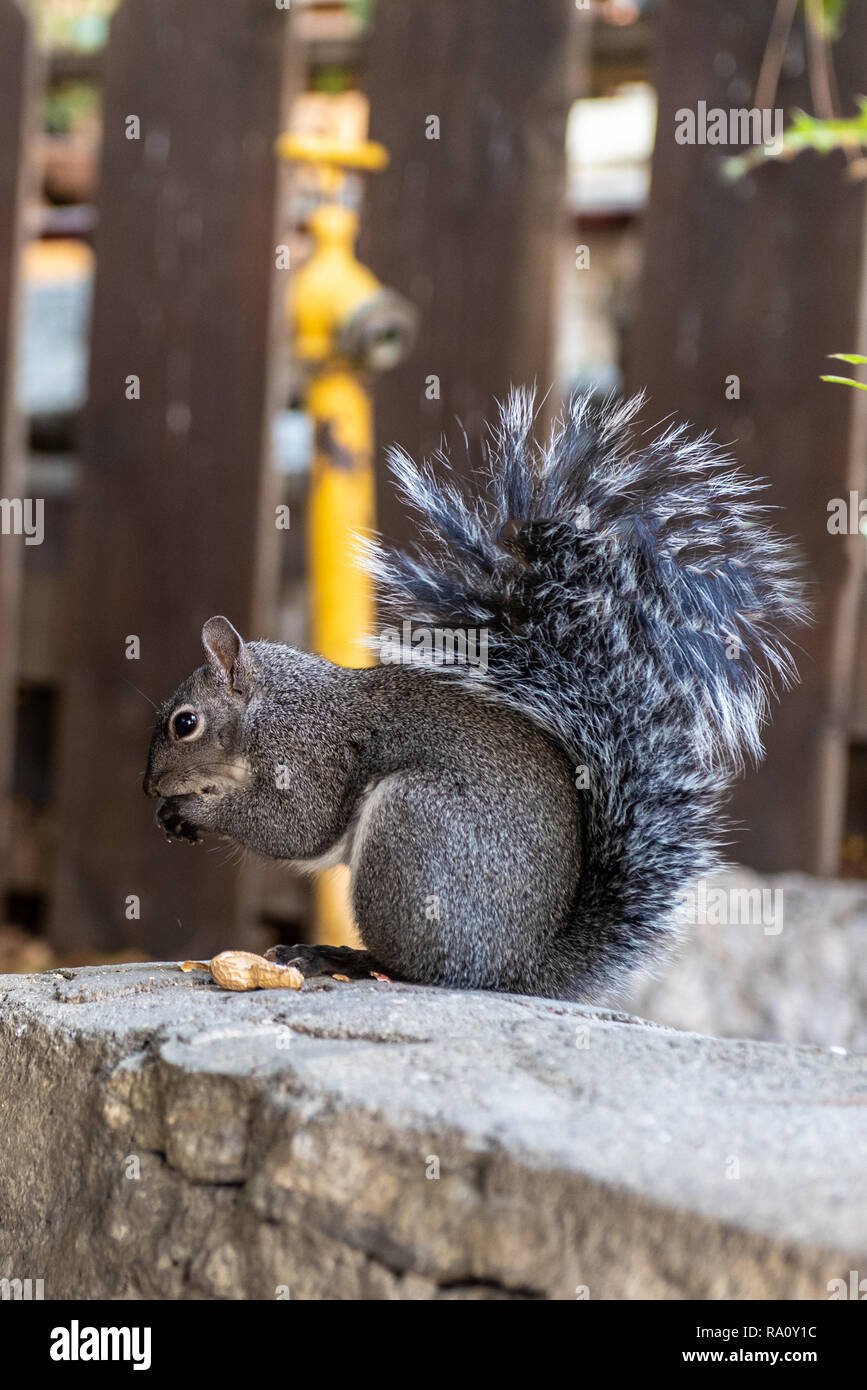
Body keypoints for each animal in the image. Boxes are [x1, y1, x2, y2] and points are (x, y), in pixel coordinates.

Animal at [143, 391, 805, 1000]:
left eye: (184, 724)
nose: (149, 787)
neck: (271, 709)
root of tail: (518, 968)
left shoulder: (308, 756)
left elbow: (296, 827)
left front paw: (192, 810)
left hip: (415, 829)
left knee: (417, 967)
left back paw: (339, 956)